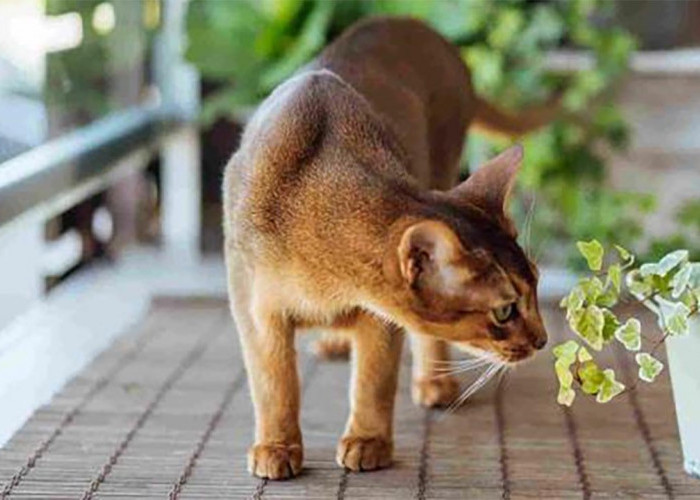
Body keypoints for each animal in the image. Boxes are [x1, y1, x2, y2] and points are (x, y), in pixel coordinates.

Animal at [223, 16, 548, 480]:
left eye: (536, 286)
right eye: (504, 311)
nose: (542, 340)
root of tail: (423, 28)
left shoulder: (380, 317)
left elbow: (374, 380)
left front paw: (368, 441)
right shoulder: (253, 306)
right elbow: (273, 382)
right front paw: (276, 445)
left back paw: (433, 381)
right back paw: (335, 341)